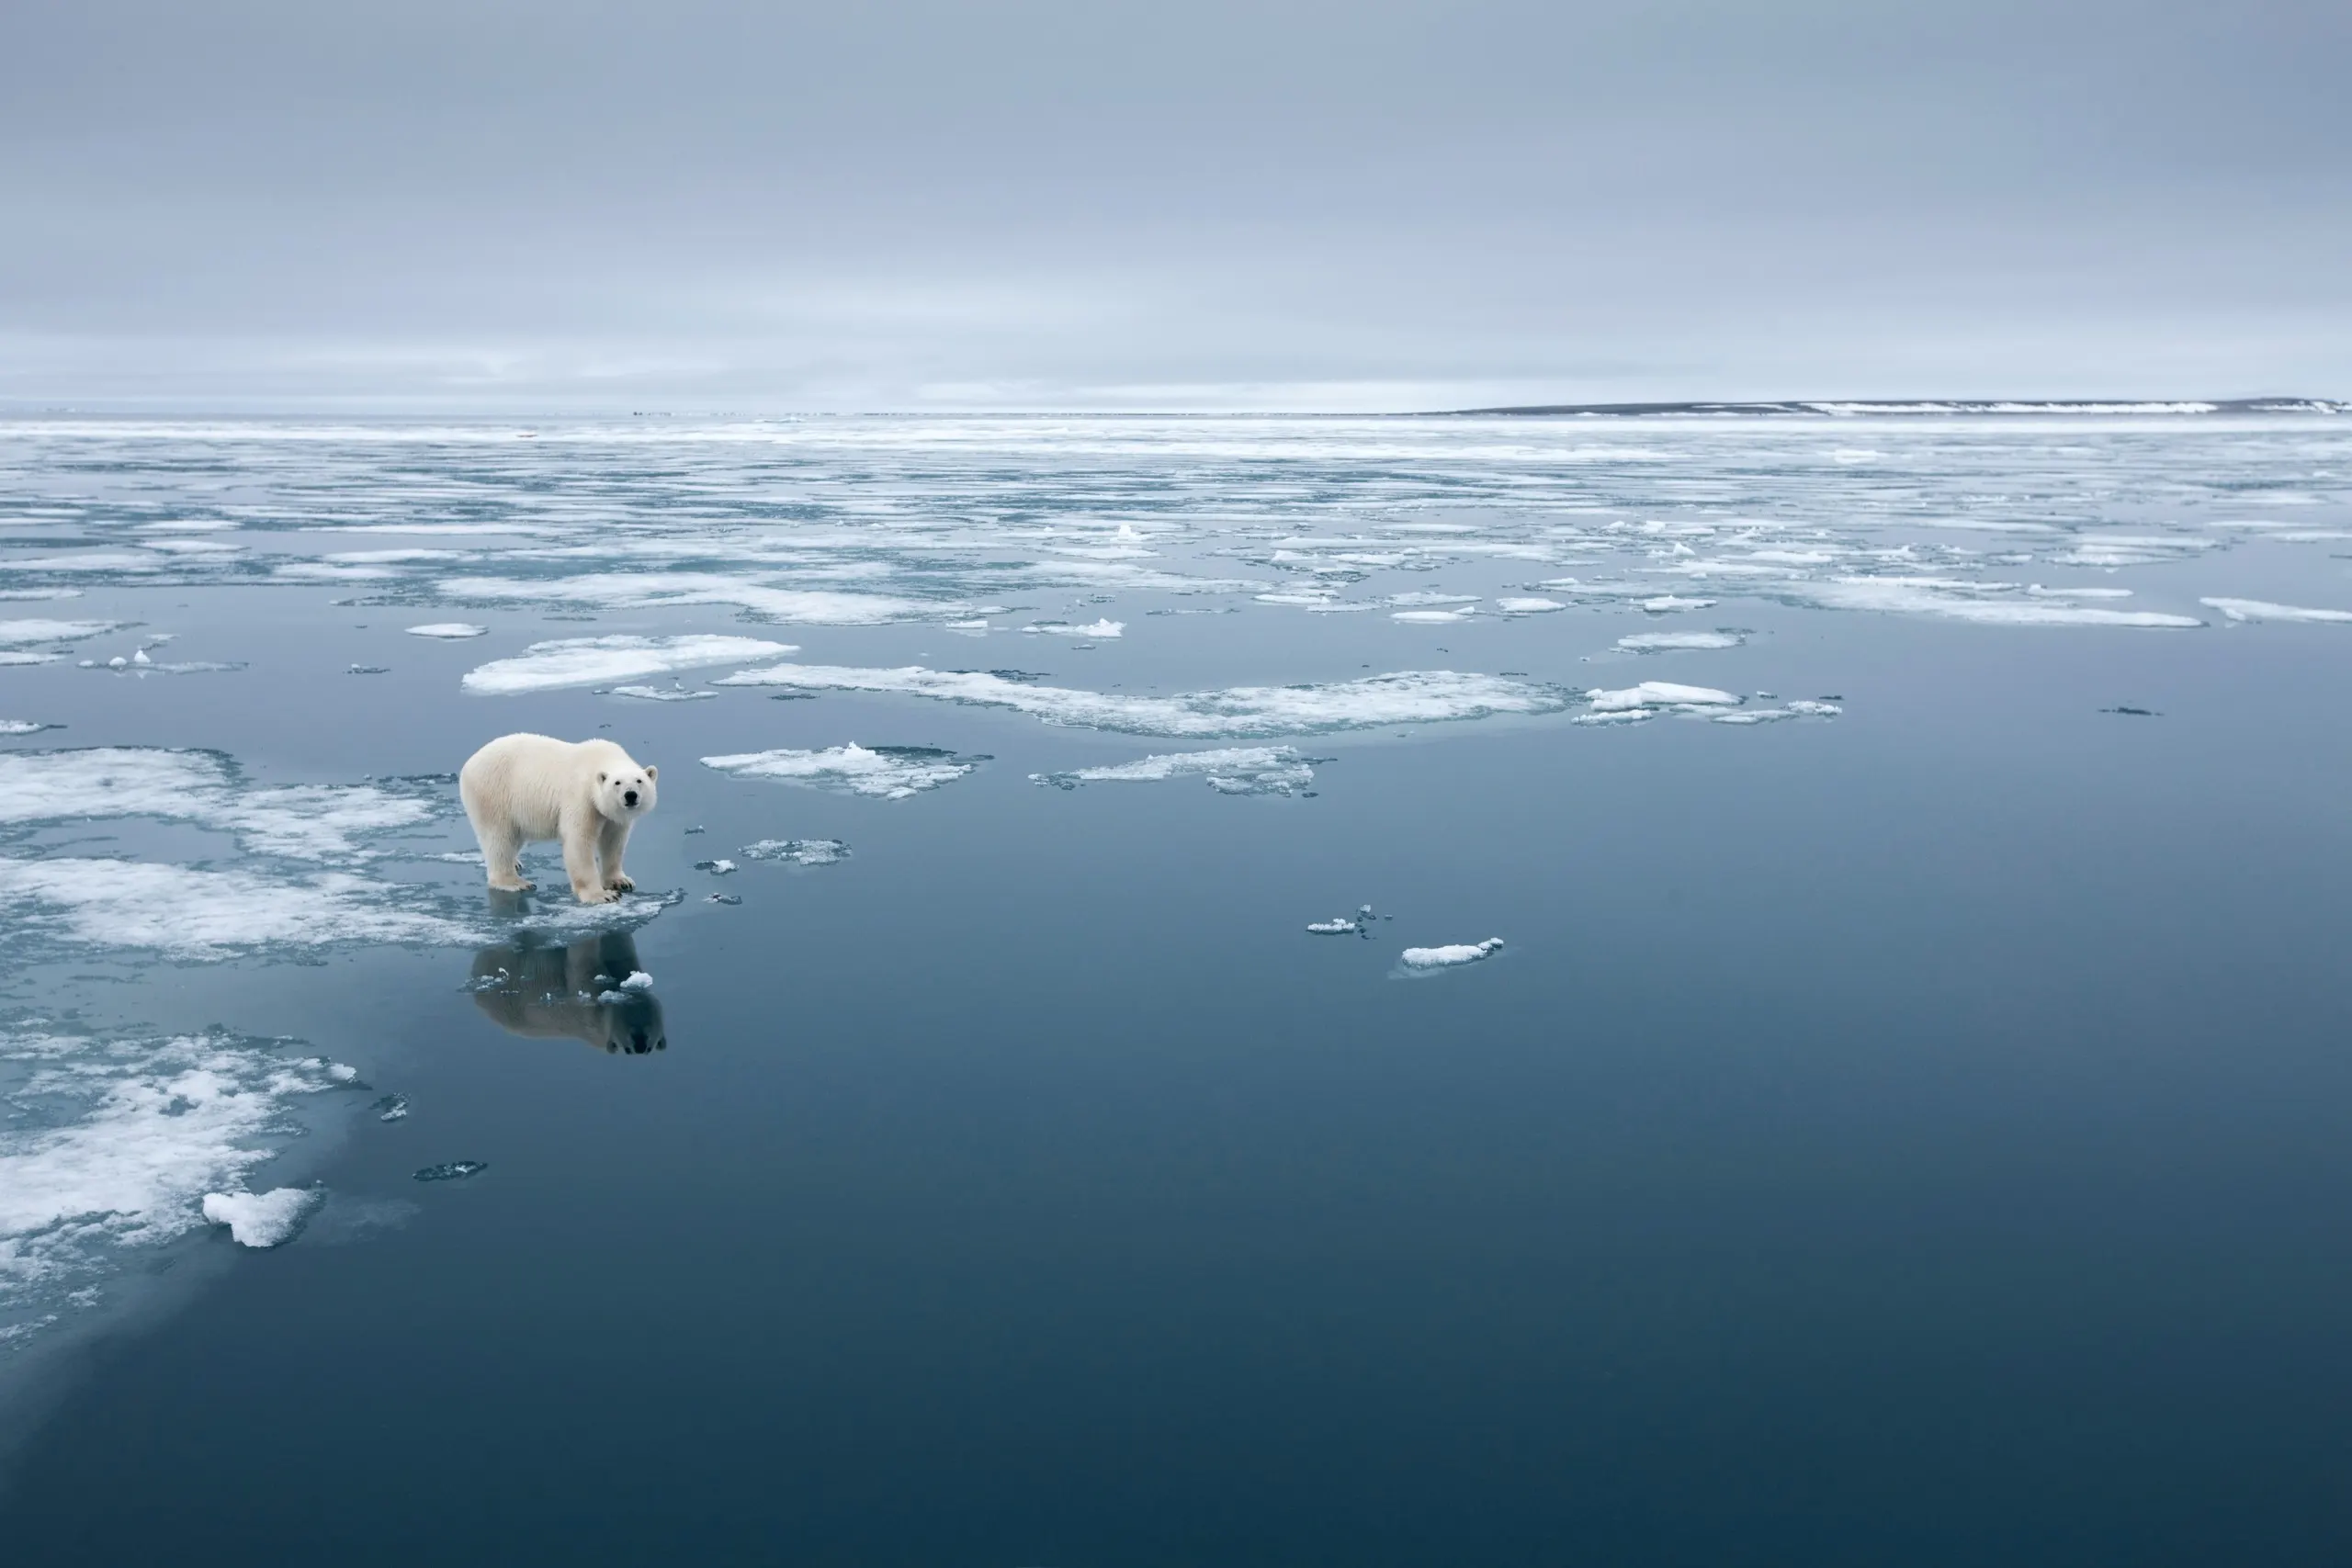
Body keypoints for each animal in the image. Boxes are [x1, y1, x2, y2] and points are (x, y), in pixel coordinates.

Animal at [458, 733, 657, 904]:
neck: (600, 758)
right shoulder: (582, 797)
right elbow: (579, 842)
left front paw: (621, 881)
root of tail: (468, 763)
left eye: (639, 781)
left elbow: (613, 841)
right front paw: (602, 895)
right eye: (617, 783)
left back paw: (515, 863)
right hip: (494, 793)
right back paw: (515, 882)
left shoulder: (611, 815)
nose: (630, 795)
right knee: (499, 837)